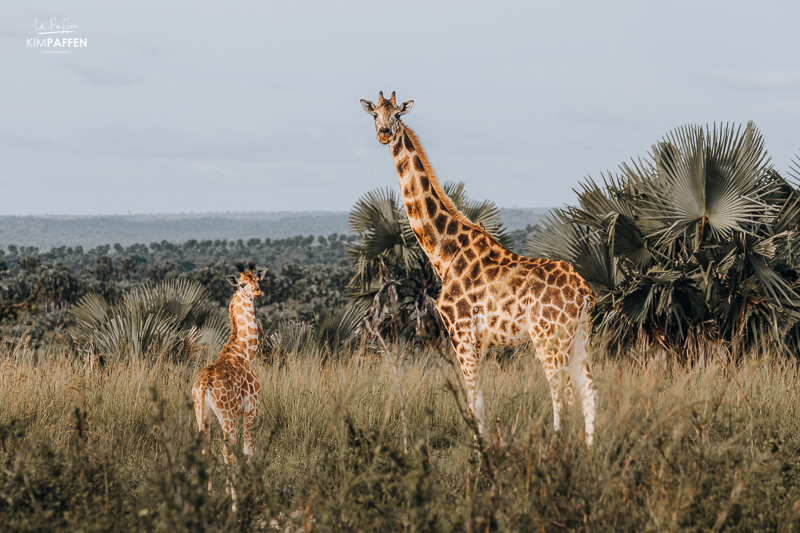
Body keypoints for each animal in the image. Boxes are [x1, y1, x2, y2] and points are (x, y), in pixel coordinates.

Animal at [192, 260, 268, 460]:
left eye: (258, 279)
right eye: (241, 284)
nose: (257, 291)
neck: (246, 353)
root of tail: (203, 385)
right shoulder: (251, 409)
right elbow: (248, 451)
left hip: (201, 412)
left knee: (206, 450)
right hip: (226, 414)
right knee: (228, 451)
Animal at [360, 91, 596, 444]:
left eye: (398, 115)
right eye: (374, 114)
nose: (384, 133)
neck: (443, 252)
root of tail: (585, 293)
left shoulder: (461, 331)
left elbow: (474, 399)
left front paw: (480, 449)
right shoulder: (476, 340)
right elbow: (478, 397)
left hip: (549, 336)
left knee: (563, 393)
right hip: (578, 335)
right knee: (588, 389)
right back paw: (592, 450)